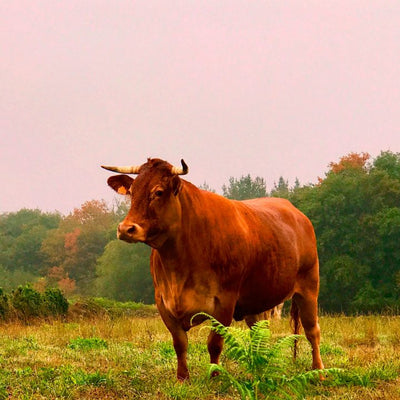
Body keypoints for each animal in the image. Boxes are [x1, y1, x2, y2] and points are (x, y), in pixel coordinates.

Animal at [101, 158, 324, 380]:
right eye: (132, 191)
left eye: (159, 192)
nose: (126, 229)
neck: (179, 266)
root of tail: (296, 212)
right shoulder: (163, 301)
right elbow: (179, 343)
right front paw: (182, 378)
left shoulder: (225, 301)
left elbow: (214, 343)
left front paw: (215, 376)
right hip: (256, 300)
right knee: (259, 333)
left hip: (309, 287)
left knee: (312, 331)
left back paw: (319, 371)